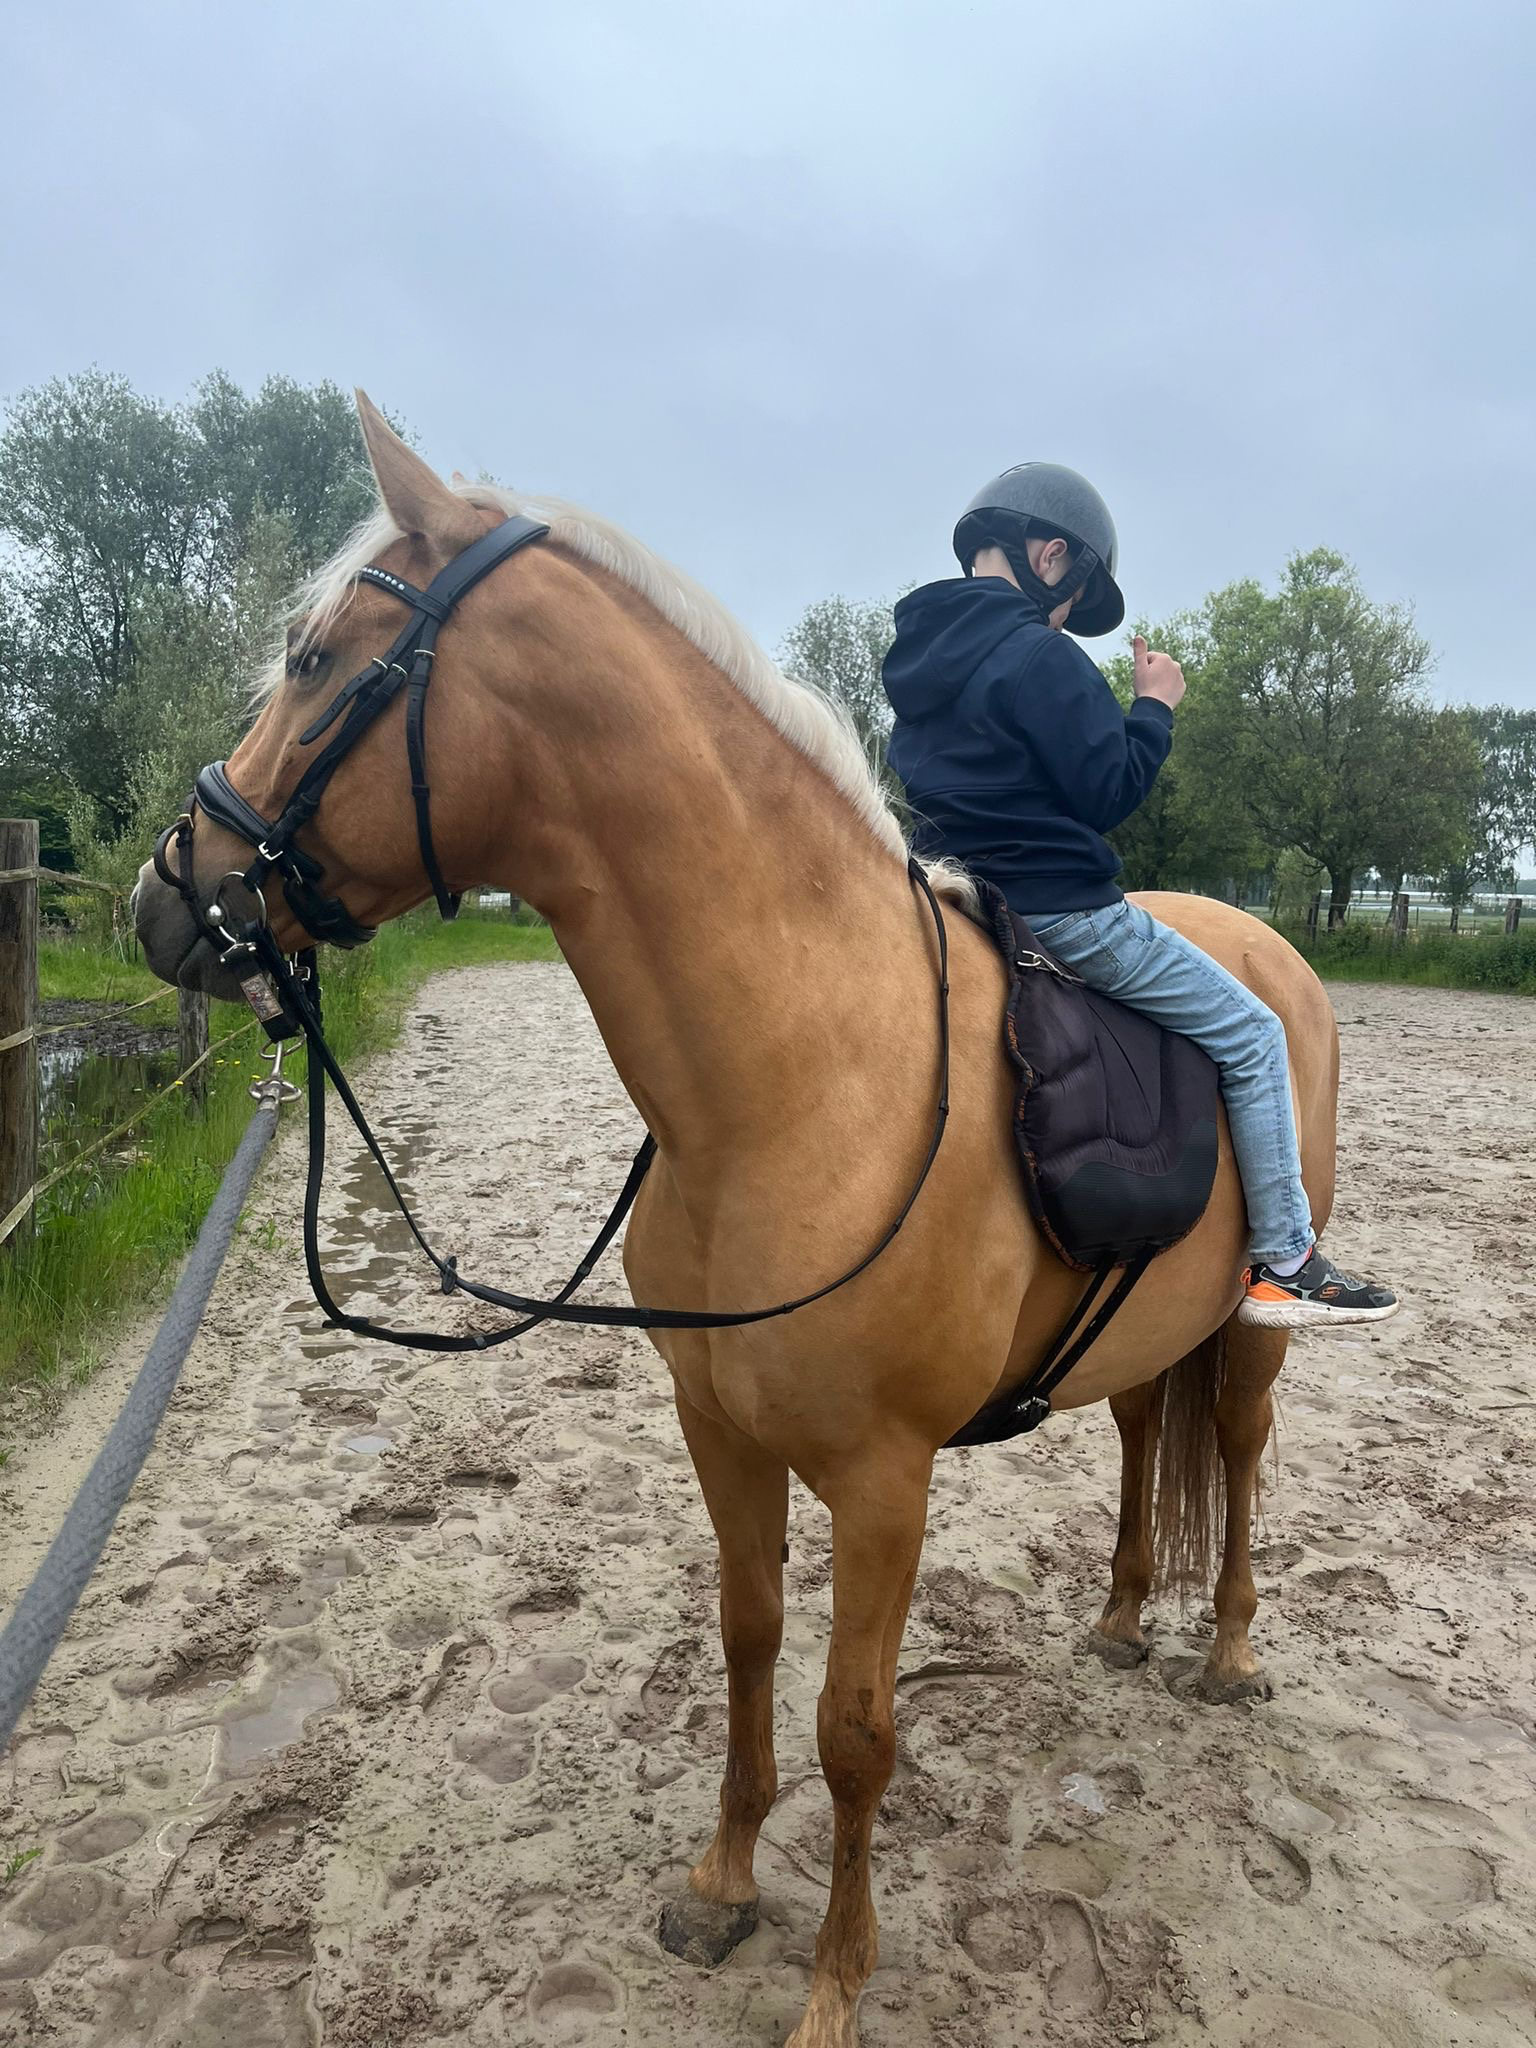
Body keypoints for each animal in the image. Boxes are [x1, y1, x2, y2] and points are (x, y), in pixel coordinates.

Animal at [132, 394, 1336, 2048]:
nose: (161, 898)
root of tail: (1261, 948)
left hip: (1253, 1337)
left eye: (316, 661)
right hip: (1146, 1321)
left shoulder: (887, 1481)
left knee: (1235, 1445)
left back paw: (1224, 1651)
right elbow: (752, 1641)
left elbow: (856, 1727)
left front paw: (833, 1985)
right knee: (1152, 1428)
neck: (797, 1078)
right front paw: (721, 1888)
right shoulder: (721, 1431)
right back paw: (1119, 1620)